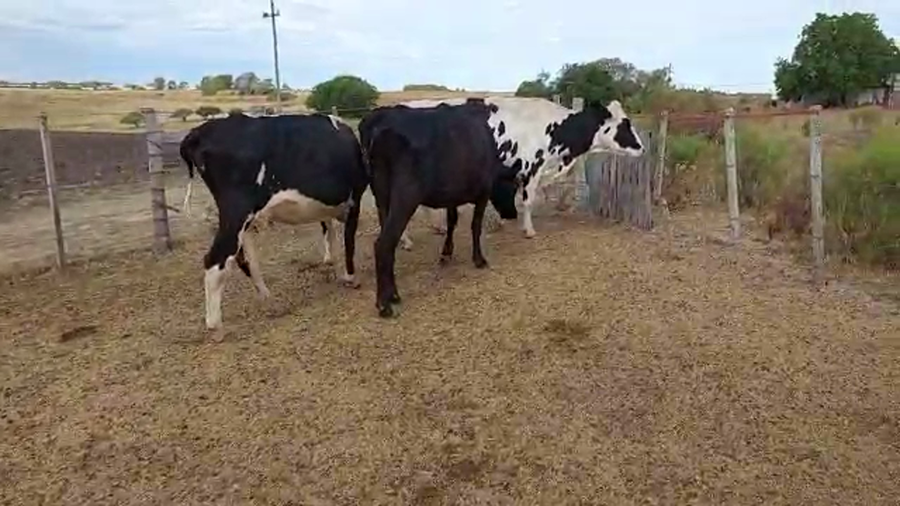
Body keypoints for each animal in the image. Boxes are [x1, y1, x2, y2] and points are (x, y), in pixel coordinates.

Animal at [178, 112, 367, 331]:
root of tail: (198, 131)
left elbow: (330, 234)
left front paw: (335, 267)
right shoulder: (354, 200)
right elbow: (348, 242)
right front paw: (351, 277)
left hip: (241, 220)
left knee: (246, 259)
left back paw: (267, 298)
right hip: (237, 212)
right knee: (215, 260)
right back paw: (215, 325)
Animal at [359, 99, 520, 318]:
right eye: (514, 186)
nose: (513, 214)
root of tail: (378, 117)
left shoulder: (452, 194)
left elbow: (452, 221)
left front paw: (446, 252)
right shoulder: (483, 192)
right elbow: (475, 225)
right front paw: (479, 259)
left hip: (382, 197)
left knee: (388, 244)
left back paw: (393, 295)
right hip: (405, 196)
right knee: (383, 244)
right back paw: (384, 304)